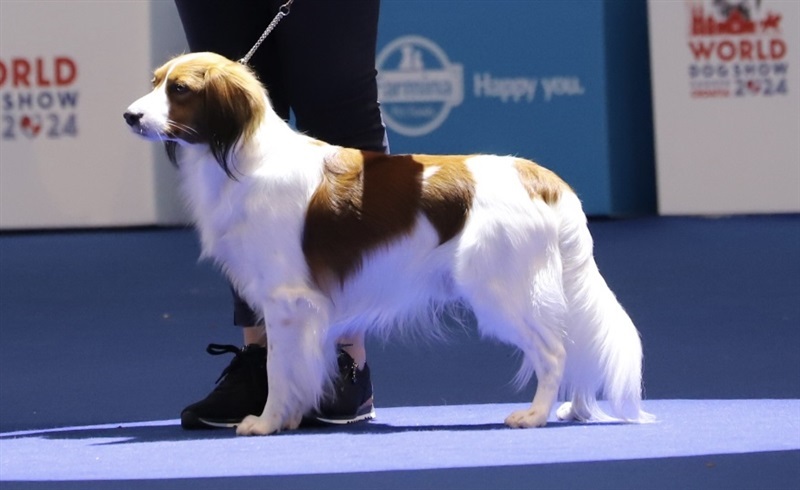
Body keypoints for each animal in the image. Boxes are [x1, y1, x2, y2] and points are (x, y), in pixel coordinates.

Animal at [124, 52, 653, 436]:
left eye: (180, 90)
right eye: (154, 81)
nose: (129, 115)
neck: (245, 157)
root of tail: (541, 177)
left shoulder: (287, 301)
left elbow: (280, 368)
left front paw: (268, 422)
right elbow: (296, 369)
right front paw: (289, 418)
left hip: (500, 290)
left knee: (554, 351)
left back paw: (535, 415)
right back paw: (573, 410)